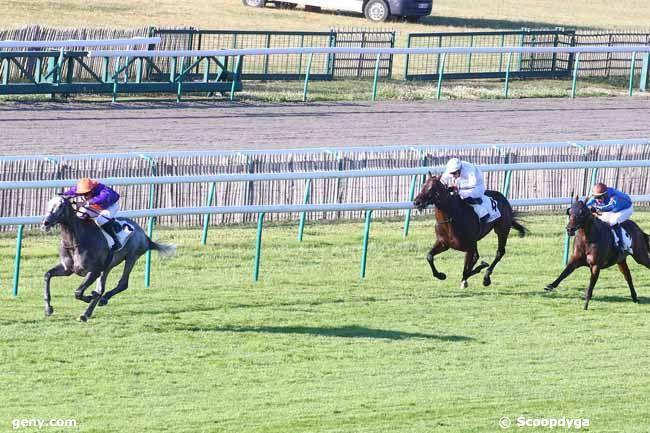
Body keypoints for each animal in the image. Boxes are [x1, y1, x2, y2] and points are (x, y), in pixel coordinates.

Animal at [40, 196, 175, 320]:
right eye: (48, 204)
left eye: (61, 205)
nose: (45, 223)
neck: (76, 240)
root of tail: (145, 236)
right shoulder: (67, 269)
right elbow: (47, 275)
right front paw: (48, 309)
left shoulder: (93, 271)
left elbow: (78, 292)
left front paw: (89, 297)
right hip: (107, 266)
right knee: (102, 288)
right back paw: (87, 313)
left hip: (131, 257)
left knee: (122, 283)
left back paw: (100, 302)